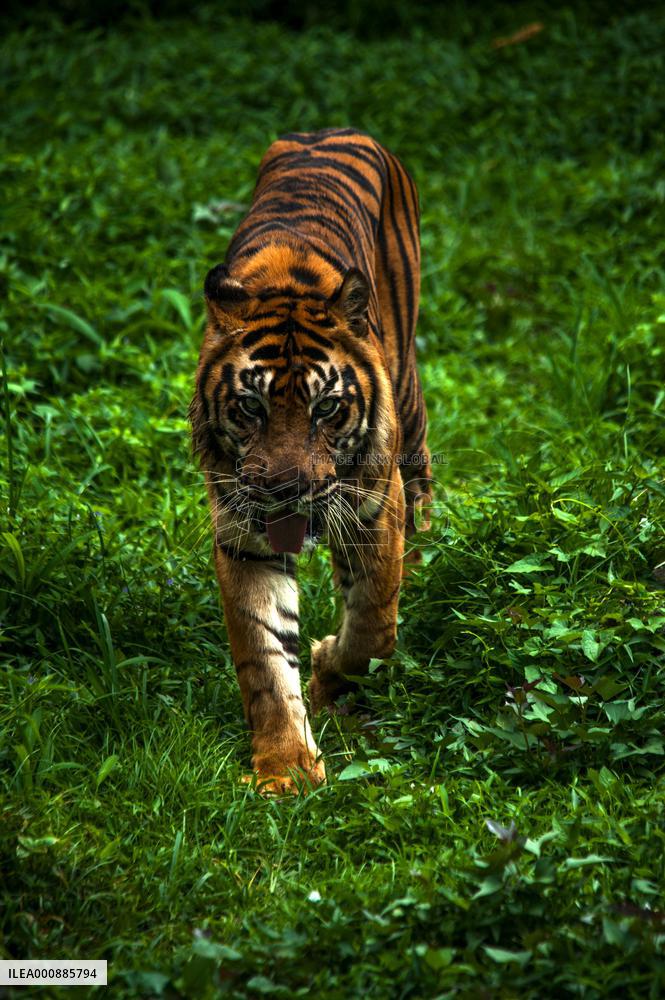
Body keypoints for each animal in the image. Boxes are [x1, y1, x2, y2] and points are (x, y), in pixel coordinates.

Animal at [189, 128, 431, 794]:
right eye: (250, 406)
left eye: (327, 408)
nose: (286, 491)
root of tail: (329, 131)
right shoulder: (244, 533)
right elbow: (265, 655)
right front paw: (286, 767)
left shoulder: (375, 505)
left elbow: (373, 626)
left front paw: (326, 668)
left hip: (408, 400)